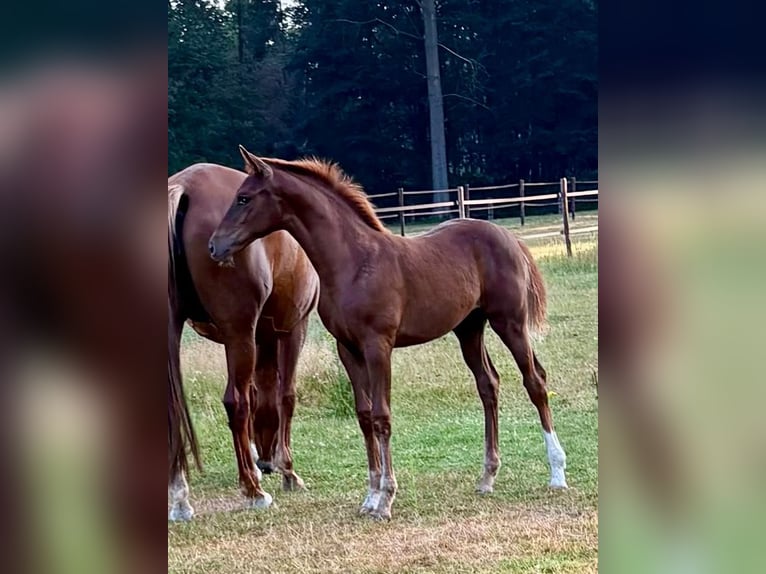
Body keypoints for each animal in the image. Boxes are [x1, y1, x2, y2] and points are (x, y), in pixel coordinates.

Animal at [167, 163, 319, 521]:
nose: (267, 463)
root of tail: (185, 186)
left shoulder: (249, 337)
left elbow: (255, 394)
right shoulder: (293, 328)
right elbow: (284, 396)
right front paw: (288, 471)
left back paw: (180, 499)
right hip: (242, 331)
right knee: (235, 402)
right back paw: (253, 490)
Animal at [208, 146, 568, 520]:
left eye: (244, 198)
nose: (214, 246)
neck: (354, 263)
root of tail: (508, 237)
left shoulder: (378, 345)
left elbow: (382, 416)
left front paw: (386, 498)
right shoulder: (348, 349)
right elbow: (365, 416)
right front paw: (370, 496)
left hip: (509, 323)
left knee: (534, 381)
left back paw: (557, 473)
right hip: (469, 328)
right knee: (489, 385)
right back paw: (487, 477)